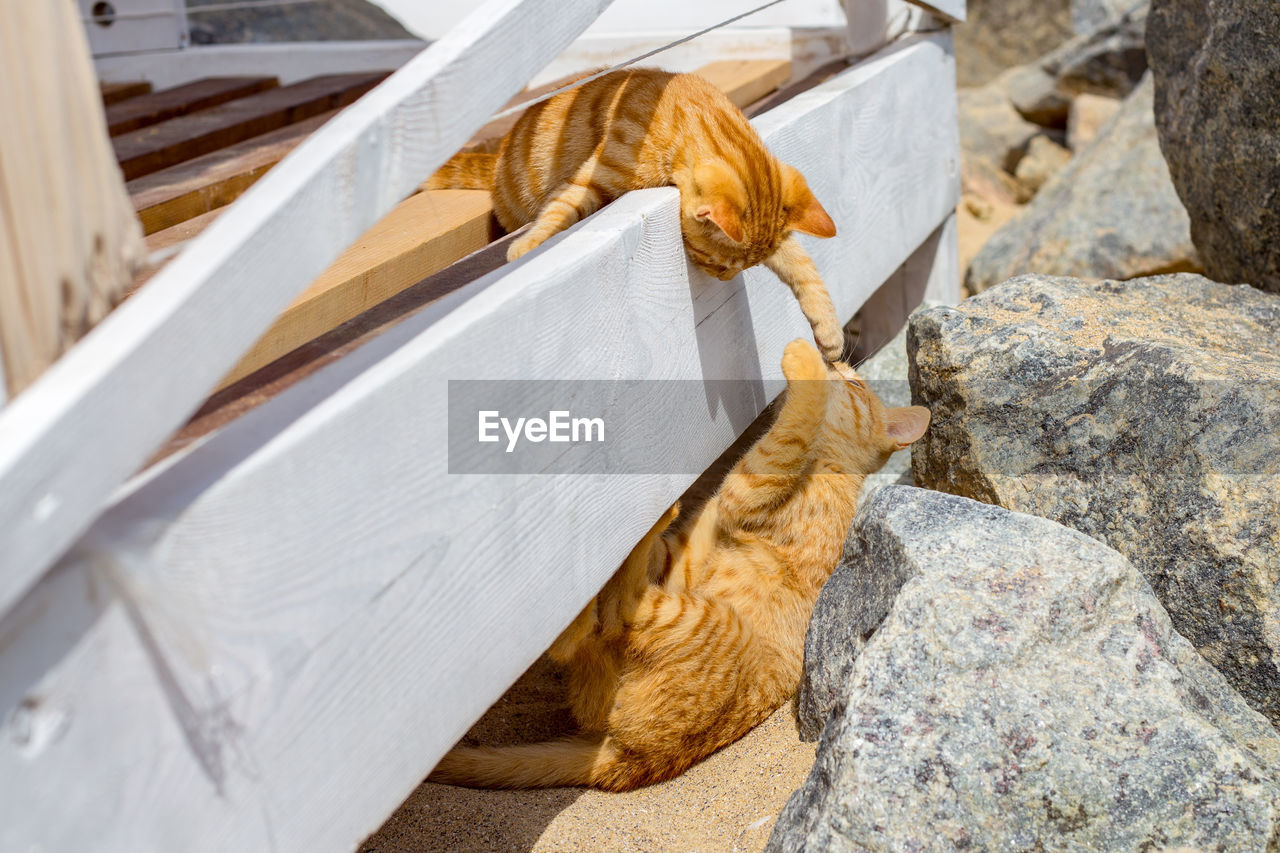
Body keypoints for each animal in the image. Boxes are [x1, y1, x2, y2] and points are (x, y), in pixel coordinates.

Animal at [430, 67, 849, 358]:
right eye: (719, 263)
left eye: (744, 268)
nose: (724, 280)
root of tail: (497, 158)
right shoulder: (594, 178)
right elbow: (559, 209)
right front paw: (527, 247)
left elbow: (801, 264)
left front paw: (829, 333)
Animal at [430, 335, 931, 788]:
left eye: (854, 382)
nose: (834, 363)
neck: (832, 466)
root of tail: (633, 762)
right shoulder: (684, 556)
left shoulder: (752, 486)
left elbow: (791, 431)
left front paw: (802, 361)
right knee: (600, 622)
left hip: (702, 621)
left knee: (598, 625)